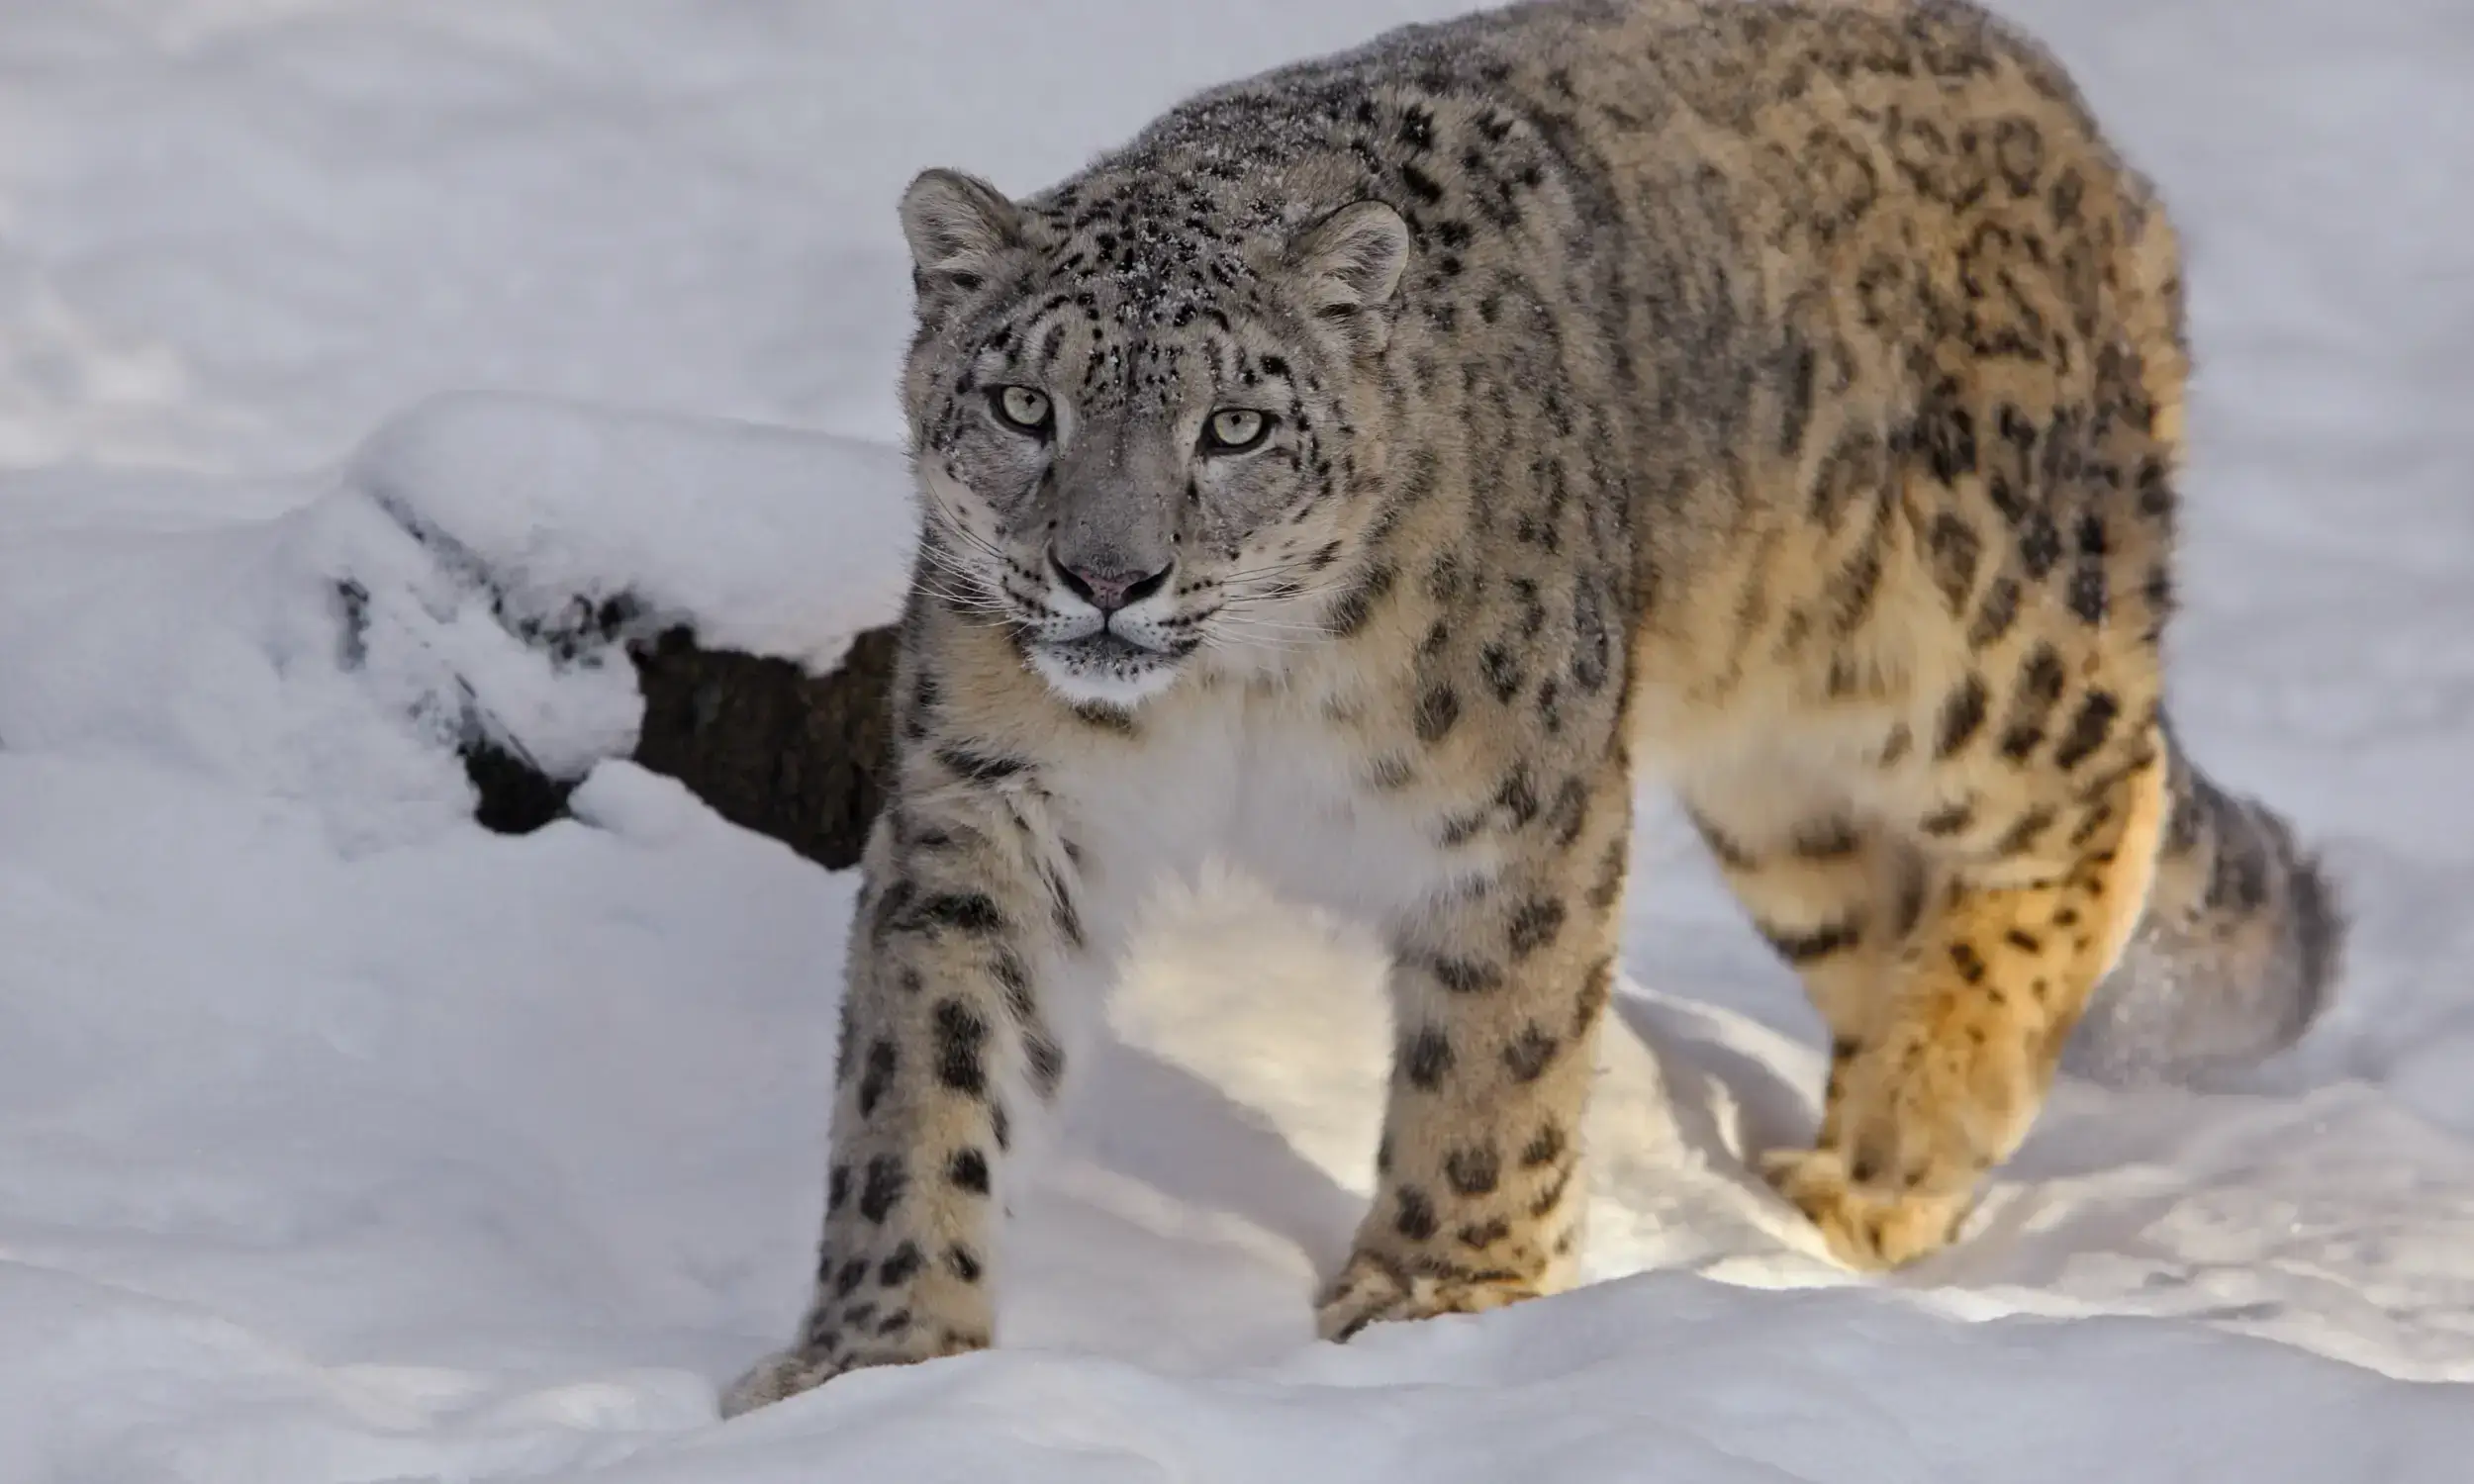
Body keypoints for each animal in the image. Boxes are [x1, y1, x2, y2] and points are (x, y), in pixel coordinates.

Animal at [722, 0, 2343, 1414]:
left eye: (1233, 427)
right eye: (1024, 407)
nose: (1106, 577)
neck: (1228, 702)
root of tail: (2076, 119)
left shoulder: (1518, 813)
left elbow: (1492, 1054)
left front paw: (1443, 1291)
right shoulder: (993, 800)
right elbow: (924, 1073)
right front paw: (874, 1356)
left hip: (1968, 641)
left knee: (2097, 799)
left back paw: (1916, 1134)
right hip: (1774, 790)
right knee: (1881, 909)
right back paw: (1840, 1182)